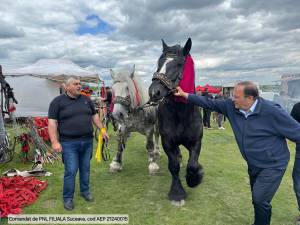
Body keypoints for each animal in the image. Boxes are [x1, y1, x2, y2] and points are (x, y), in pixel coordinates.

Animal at [148, 38, 204, 206]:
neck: (181, 114)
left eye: (179, 64)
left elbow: (193, 164)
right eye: (159, 62)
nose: (154, 92)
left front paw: (194, 178)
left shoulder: (196, 142)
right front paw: (177, 193)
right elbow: (173, 166)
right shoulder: (168, 142)